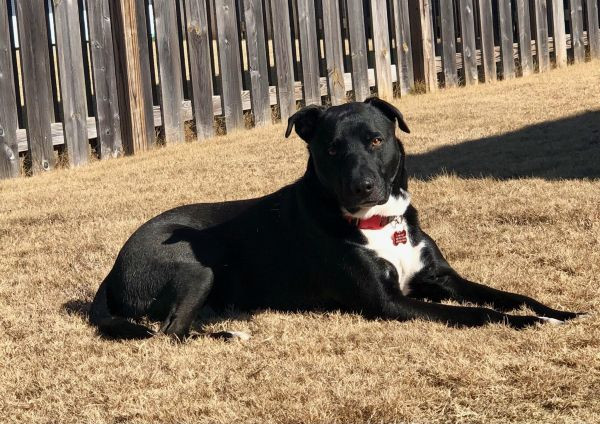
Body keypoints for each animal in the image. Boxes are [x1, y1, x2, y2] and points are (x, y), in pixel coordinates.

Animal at [88, 97, 576, 340]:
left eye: (376, 139)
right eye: (331, 148)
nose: (362, 186)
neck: (379, 225)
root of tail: (114, 268)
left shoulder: (441, 278)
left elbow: (509, 296)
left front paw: (560, 312)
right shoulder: (388, 303)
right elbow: (481, 314)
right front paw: (533, 325)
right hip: (197, 270)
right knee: (169, 333)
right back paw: (230, 336)